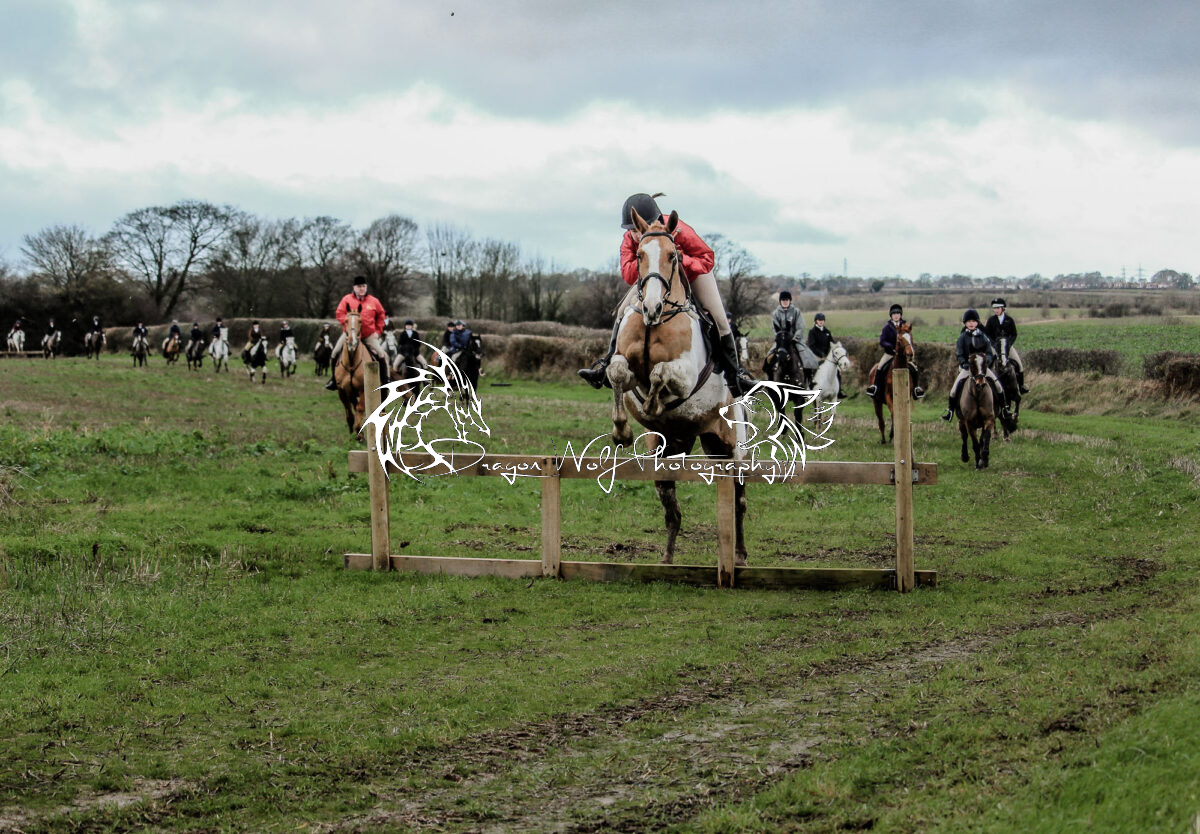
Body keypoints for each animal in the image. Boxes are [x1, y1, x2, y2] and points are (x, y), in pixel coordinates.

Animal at [605, 209, 749, 566]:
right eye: (639, 256)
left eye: (673, 255)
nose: (652, 308)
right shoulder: (624, 366)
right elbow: (618, 373)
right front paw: (622, 431)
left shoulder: (684, 376)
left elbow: (660, 374)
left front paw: (654, 405)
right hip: (674, 451)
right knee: (672, 507)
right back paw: (667, 558)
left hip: (731, 446)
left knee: (738, 498)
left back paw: (740, 555)